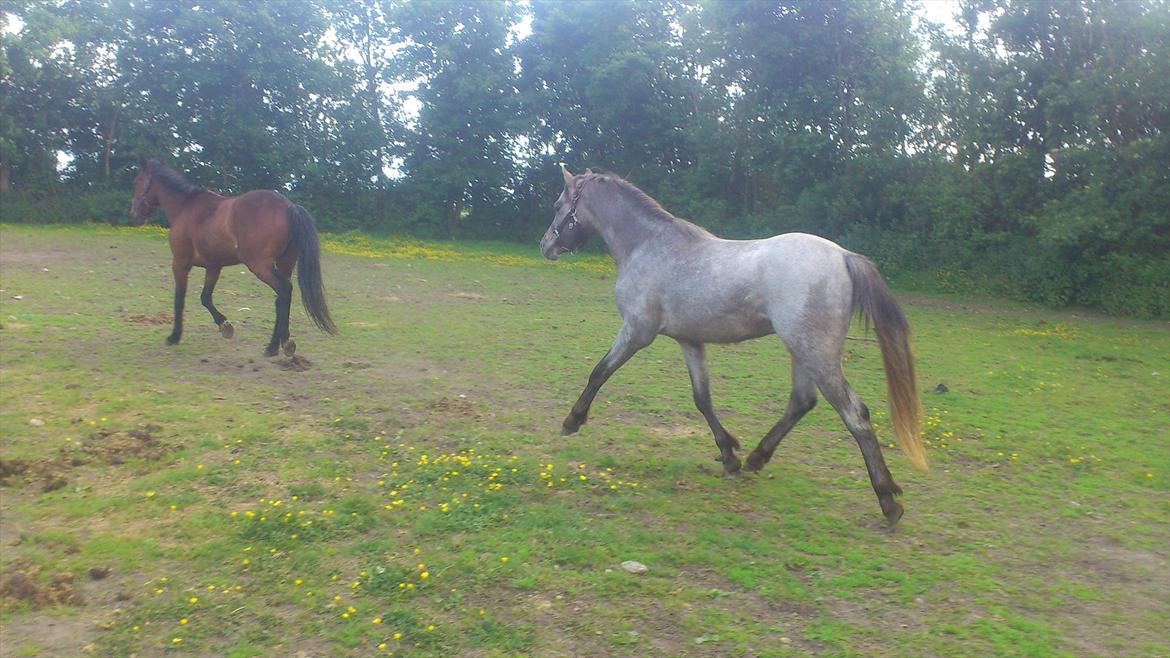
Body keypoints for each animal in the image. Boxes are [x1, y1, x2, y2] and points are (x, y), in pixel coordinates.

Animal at [130, 157, 337, 356]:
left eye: (137, 181)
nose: (134, 212)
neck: (186, 207)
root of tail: (289, 206)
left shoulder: (180, 264)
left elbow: (179, 300)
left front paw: (174, 336)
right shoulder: (213, 266)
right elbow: (205, 297)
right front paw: (225, 325)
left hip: (260, 266)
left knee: (284, 290)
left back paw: (279, 344)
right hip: (284, 264)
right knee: (282, 297)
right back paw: (278, 345)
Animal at [539, 166, 926, 525]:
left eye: (558, 205)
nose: (546, 246)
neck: (649, 246)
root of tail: (844, 256)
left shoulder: (636, 331)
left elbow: (599, 372)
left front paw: (572, 420)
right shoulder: (689, 340)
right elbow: (703, 399)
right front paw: (729, 455)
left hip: (816, 353)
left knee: (854, 414)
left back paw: (888, 500)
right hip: (801, 350)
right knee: (802, 402)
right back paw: (757, 458)